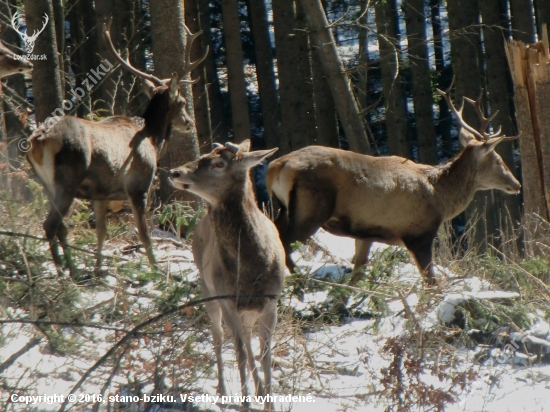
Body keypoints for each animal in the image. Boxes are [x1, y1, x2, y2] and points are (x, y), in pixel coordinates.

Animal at [25, 22, 208, 274]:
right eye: (181, 101)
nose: (189, 123)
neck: (153, 140)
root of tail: (38, 139)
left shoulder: (100, 193)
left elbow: (102, 232)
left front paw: (99, 269)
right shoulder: (138, 186)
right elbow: (144, 233)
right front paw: (157, 269)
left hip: (45, 183)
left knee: (60, 226)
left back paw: (72, 268)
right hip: (67, 178)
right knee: (51, 224)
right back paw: (62, 272)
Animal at [171, 140, 284, 410]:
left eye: (218, 163)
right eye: (202, 154)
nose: (174, 172)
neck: (252, 270)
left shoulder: (271, 302)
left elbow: (265, 354)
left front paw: (268, 402)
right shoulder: (227, 300)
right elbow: (240, 351)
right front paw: (245, 402)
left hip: (246, 308)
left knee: (245, 335)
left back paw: (257, 390)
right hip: (208, 288)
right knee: (220, 335)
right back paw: (223, 390)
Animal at [270, 81, 524, 286]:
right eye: (497, 159)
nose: (517, 184)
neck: (440, 197)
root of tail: (277, 166)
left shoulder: (366, 233)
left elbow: (358, 272)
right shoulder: (418, 232)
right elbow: (430, 282)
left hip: (286, 208)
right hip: (311, 207)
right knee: (284, 241)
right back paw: (300, 283)